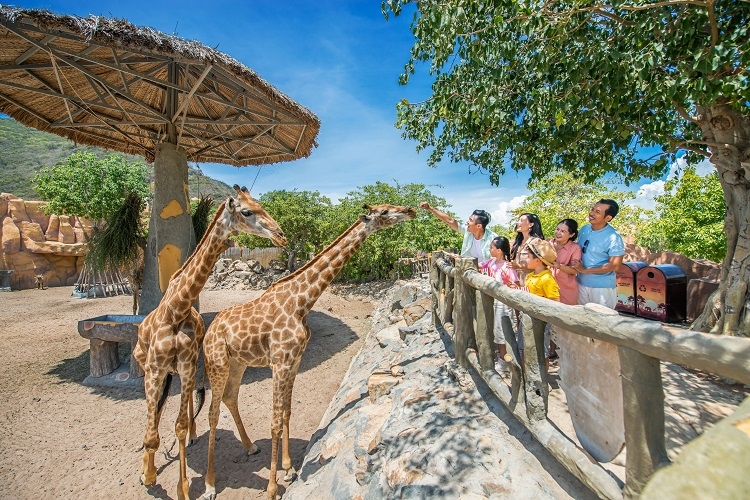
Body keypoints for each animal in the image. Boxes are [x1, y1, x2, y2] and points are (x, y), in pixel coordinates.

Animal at [134, 186, 286, 500]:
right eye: (247, 211)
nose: (280, 235)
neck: (176, 309)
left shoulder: (186, 365)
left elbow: (179, 425)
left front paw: (181, 488)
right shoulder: (154, 368)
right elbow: (153, 430)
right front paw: (148, 474)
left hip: (185, 371)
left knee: (185, 408)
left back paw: (196, 437)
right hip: (150, 368)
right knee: (155, 412)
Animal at [200, 203, 420, 500]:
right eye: (384, 212)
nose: (409, 210)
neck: (301, 302)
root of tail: (208, 331)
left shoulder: (294, 361)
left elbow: (286, 412)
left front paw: (289, 468)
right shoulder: (280, 362)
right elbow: (274, 420)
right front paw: (272, 489)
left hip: (238, 363)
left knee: (230, 397)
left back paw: (250, 447)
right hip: (217, 363)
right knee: (212, 413)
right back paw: (210, 485)